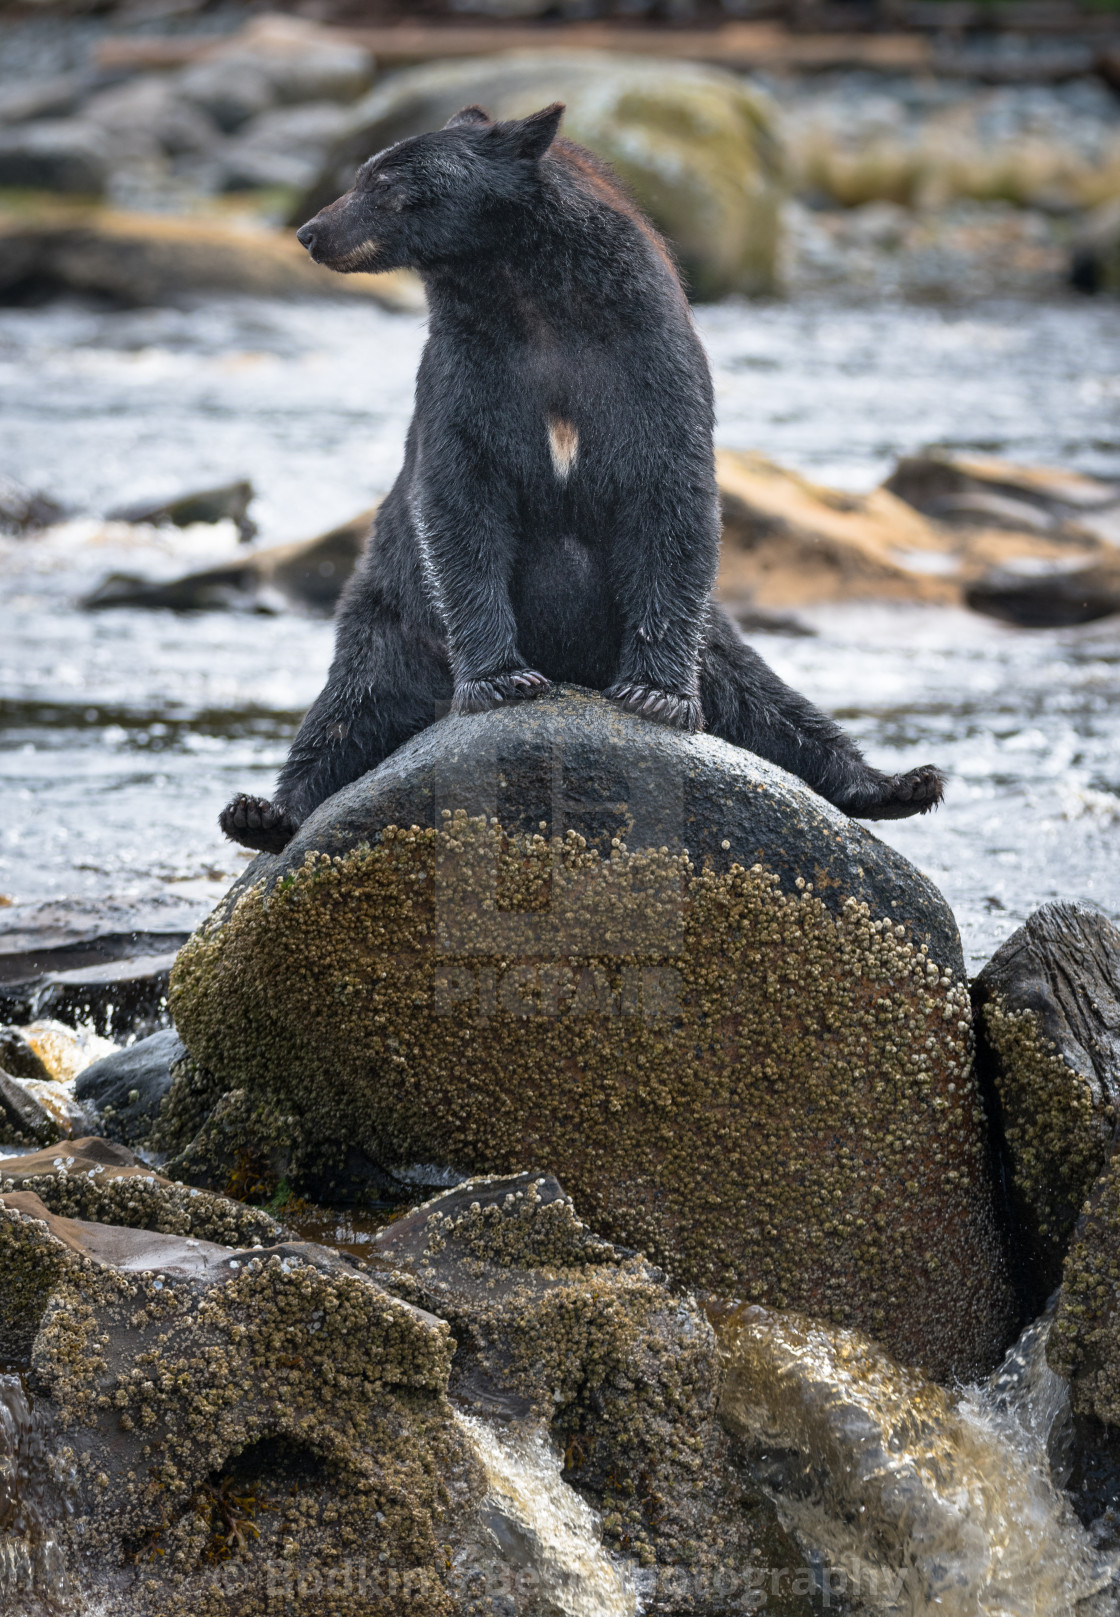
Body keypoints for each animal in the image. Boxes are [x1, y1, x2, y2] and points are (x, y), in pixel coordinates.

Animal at [218, 105, 937, 853]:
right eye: (364, 173)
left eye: (383, 179)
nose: (310, 231)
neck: (530, 297)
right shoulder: (467, 377)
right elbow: (460, 504)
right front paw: (501, 678)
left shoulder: (648, 368)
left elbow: (673, 501)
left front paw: (656, 694)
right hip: (393, 616)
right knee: (349, 706)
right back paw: (264, 812)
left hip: (710, 638)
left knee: (768, 702)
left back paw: (895, 782)